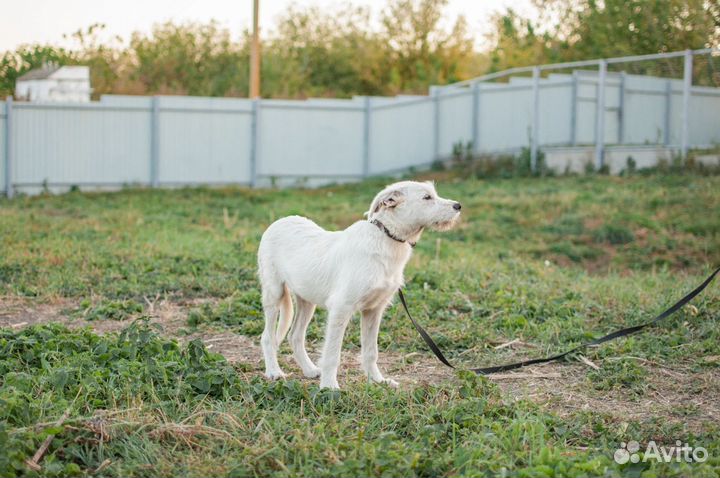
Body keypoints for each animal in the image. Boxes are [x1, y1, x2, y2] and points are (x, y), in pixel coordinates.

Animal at [258, 180, 462, 388]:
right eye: (426, 197)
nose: (458, 206)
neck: (386, 239)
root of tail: (280, 221)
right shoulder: (341, 308)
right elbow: (332, 354)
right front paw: (329, 387)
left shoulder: (374, 310)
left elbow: (371, 352)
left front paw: (378, 380)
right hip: (274, 293)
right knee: (267, 337)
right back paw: (274, 372)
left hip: (307, 299)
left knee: (295, 336)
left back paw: (309, 370)